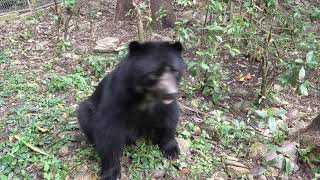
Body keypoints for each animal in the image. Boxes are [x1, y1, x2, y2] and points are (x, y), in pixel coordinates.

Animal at [77, 40, 185, 179]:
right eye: (154, 74)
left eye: (175, 71)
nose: (170, 94)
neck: (146, 95)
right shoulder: (117, 97)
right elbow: (108, 133)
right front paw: (110, 173)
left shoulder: (165, 106)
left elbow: (170, 119)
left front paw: (172, 150)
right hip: (87, 110)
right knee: (84, 115)